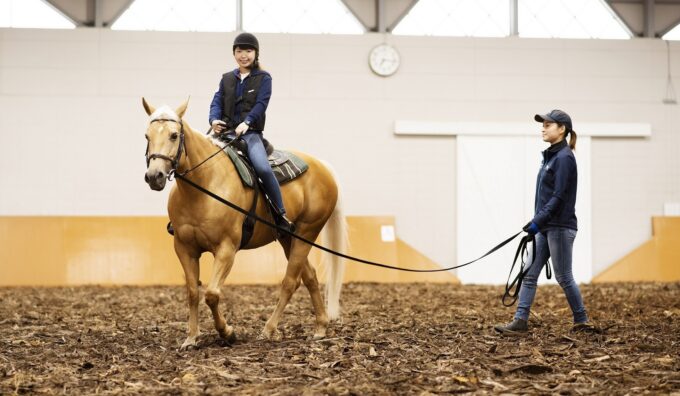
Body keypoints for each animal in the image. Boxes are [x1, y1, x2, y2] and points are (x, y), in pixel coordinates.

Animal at [142, 99, 346, 350]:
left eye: (173, 135)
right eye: (147, 136)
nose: (154, 176)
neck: (204, 185)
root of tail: (323, 167)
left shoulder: (226, 249)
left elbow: (212, 293)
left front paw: (227, 332)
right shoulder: (184, 248)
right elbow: (192, 292)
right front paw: (191, 338)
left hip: (307, 232)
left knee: (290, 281)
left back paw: (269, 329)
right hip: (288, 237)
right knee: (309, 276)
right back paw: (320, 327)